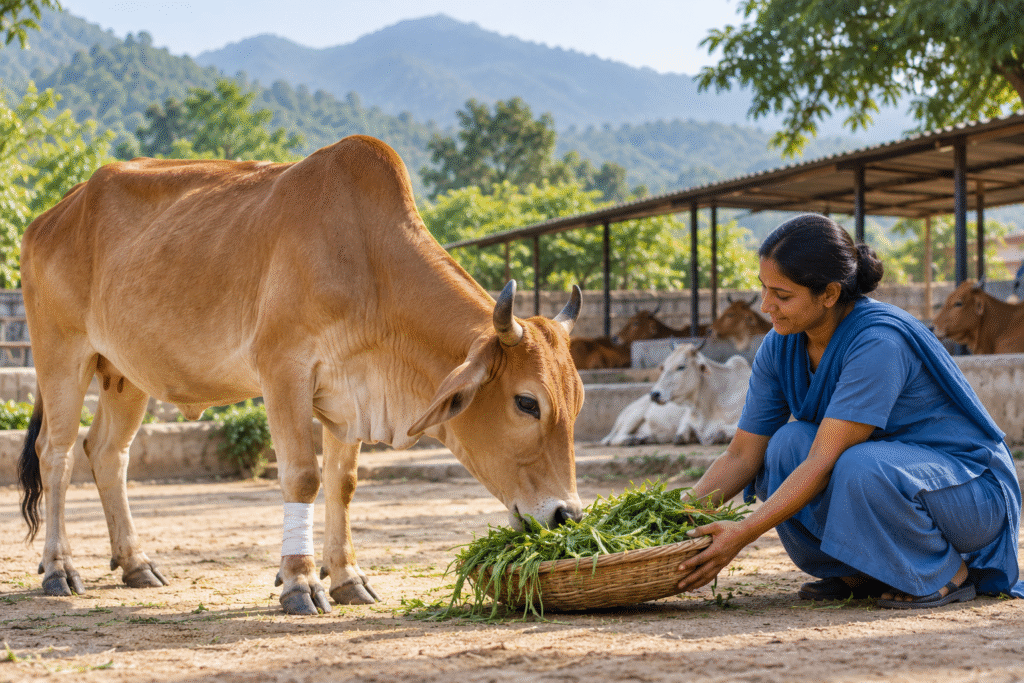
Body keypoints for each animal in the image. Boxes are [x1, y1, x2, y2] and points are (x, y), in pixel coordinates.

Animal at [17, 135, 585, 616]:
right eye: (527, 402)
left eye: (576, 402)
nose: (567, 516)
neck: (369, 263)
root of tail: (50, 216)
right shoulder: (283, 372)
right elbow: (303, 477)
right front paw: (300, 582)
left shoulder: (347, 396)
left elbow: (343, 483)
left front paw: (348, 578)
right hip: (62, 354)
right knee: (57, 454)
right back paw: (59, 569)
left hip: (125, 374)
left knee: (108, 453)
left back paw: (137, 564)